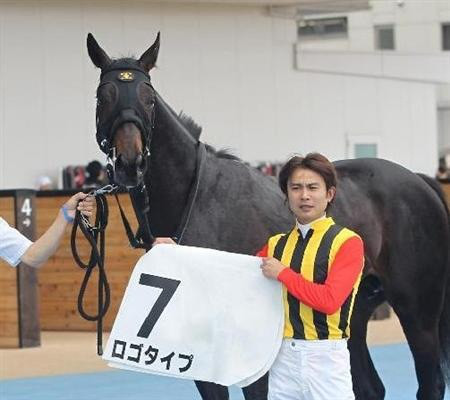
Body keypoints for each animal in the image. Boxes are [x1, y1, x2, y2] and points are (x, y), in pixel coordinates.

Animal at [86, 32, 448, 398]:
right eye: (104, 97)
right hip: (351, 313)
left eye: (148, 99)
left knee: (429, 380)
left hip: (417, 308)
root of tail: (419, 180)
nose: (130, 163)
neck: (198, 200)